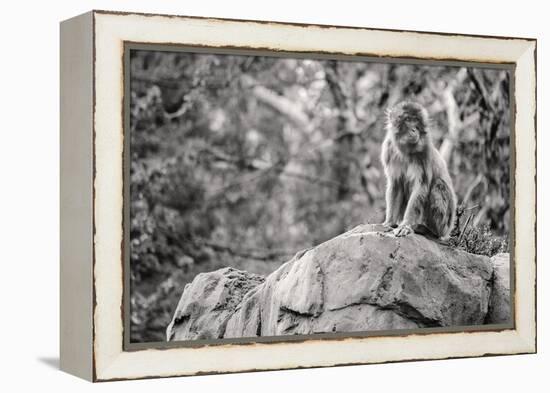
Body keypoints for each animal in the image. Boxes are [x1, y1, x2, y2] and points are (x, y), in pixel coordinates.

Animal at [382, 101, 460, 239]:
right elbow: (396, 185)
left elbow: (421, 187)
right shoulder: (389, 150)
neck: (406, 151)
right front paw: (390, 222)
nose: (414, 129)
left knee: (438, 185)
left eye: (416, 120)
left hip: (445, 223)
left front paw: (405, 225)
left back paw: (428, 230)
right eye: (408, 119)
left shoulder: (425, 152)